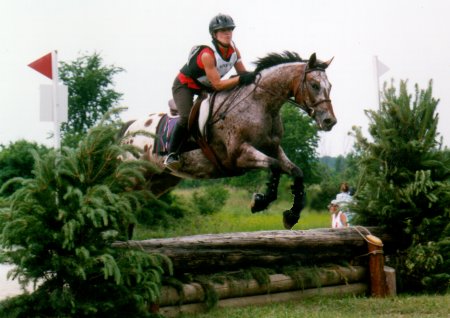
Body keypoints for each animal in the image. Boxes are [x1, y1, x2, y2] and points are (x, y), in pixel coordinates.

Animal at [121, 51, 336, 229]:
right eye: (314, 85)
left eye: (330, 86)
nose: (330, 121)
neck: (261, 104)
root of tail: (129, 128)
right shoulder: (239, 155)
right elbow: (274, 166)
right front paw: (259, 202)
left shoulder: (273, 148)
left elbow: (296, 172)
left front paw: (291, 215)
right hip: (134, 177)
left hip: (160, 181)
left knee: (132, 207)